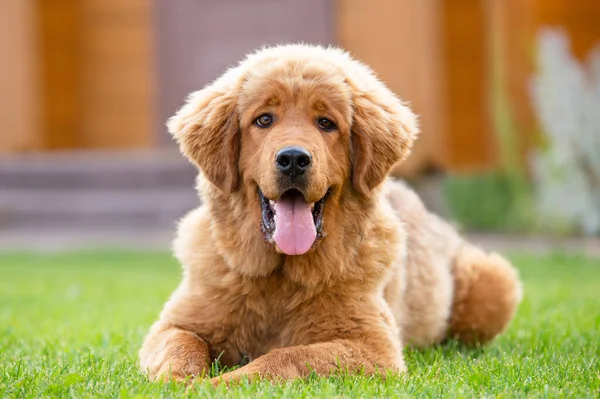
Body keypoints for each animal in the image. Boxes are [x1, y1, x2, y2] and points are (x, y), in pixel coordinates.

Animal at [138, 45, 524, 386]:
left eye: (326, 123)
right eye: (264, 119)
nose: (293, 159)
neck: (280, 277)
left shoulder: (374, 347)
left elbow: (284, 357)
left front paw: (219, 384)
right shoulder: (175, 323)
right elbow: (181, 346)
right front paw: (178, 382)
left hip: (494, 281)